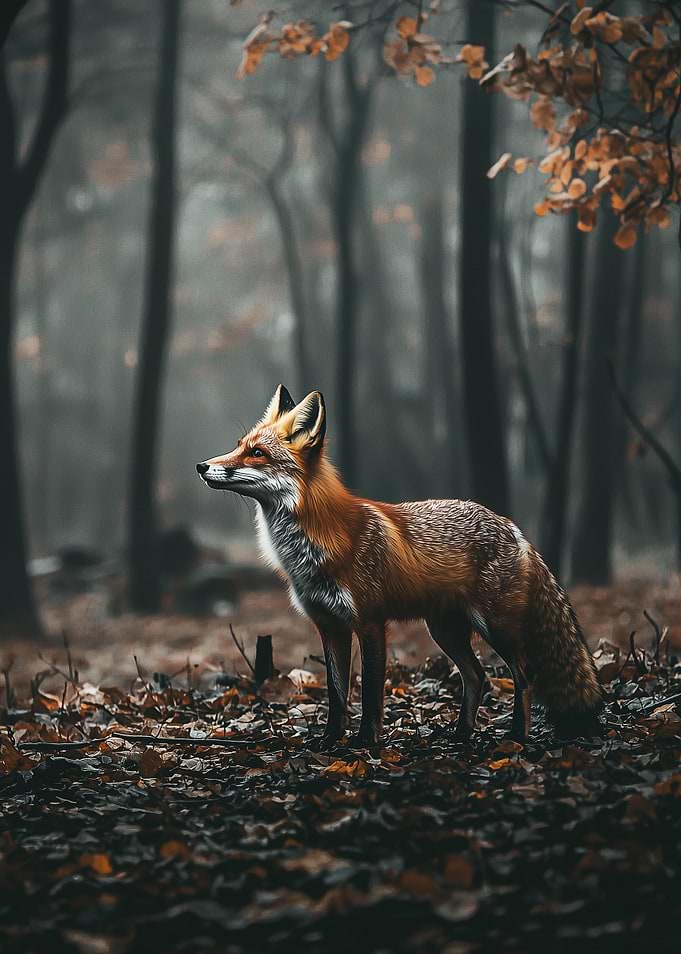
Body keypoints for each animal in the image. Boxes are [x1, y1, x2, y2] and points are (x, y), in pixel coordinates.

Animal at [197, 385, 604, 747]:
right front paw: (330, 741)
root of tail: (513, 527)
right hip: (444, 631)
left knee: (524, 674)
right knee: (478, 676)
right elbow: (336, 694)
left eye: (258, 453)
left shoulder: (370, 622)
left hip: (495, 627)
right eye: (239, 445)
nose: (202, 466)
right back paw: (461, 735)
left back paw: (516, 735)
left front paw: (366, 742)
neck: (313, 544)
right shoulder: (329, 625)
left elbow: (371, 692)